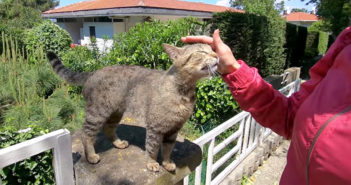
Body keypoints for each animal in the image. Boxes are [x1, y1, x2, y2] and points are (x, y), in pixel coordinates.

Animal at [45, 43, 219, 172]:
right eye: (201, 51)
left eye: (212, 49)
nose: (217, 55)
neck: (184, 93)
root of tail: (93, 72)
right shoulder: (155, 127)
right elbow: (152, 148)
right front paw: (152, 163)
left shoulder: (174, 129)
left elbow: (168, 148)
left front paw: (167, 163)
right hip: (97, 113)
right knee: (86, 133)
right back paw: (91, 156)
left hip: (115, 113)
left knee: (108, 129)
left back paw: (118, 143)